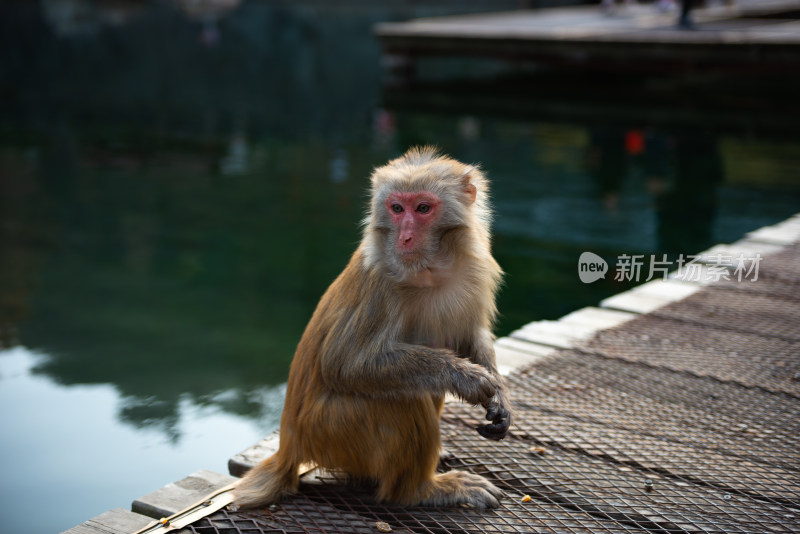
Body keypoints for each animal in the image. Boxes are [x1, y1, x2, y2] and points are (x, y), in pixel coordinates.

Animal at [234, 147, 512, 510]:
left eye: (423, 208)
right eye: (396, 208)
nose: (404, 237)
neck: (431, 268)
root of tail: (290, 446)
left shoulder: (475, 269)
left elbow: (470, 333)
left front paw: (500, 398)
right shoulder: (380, 283)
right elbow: (344, 363)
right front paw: (467, 378)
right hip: (332, 429)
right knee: (404, 397)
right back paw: (421, 490)